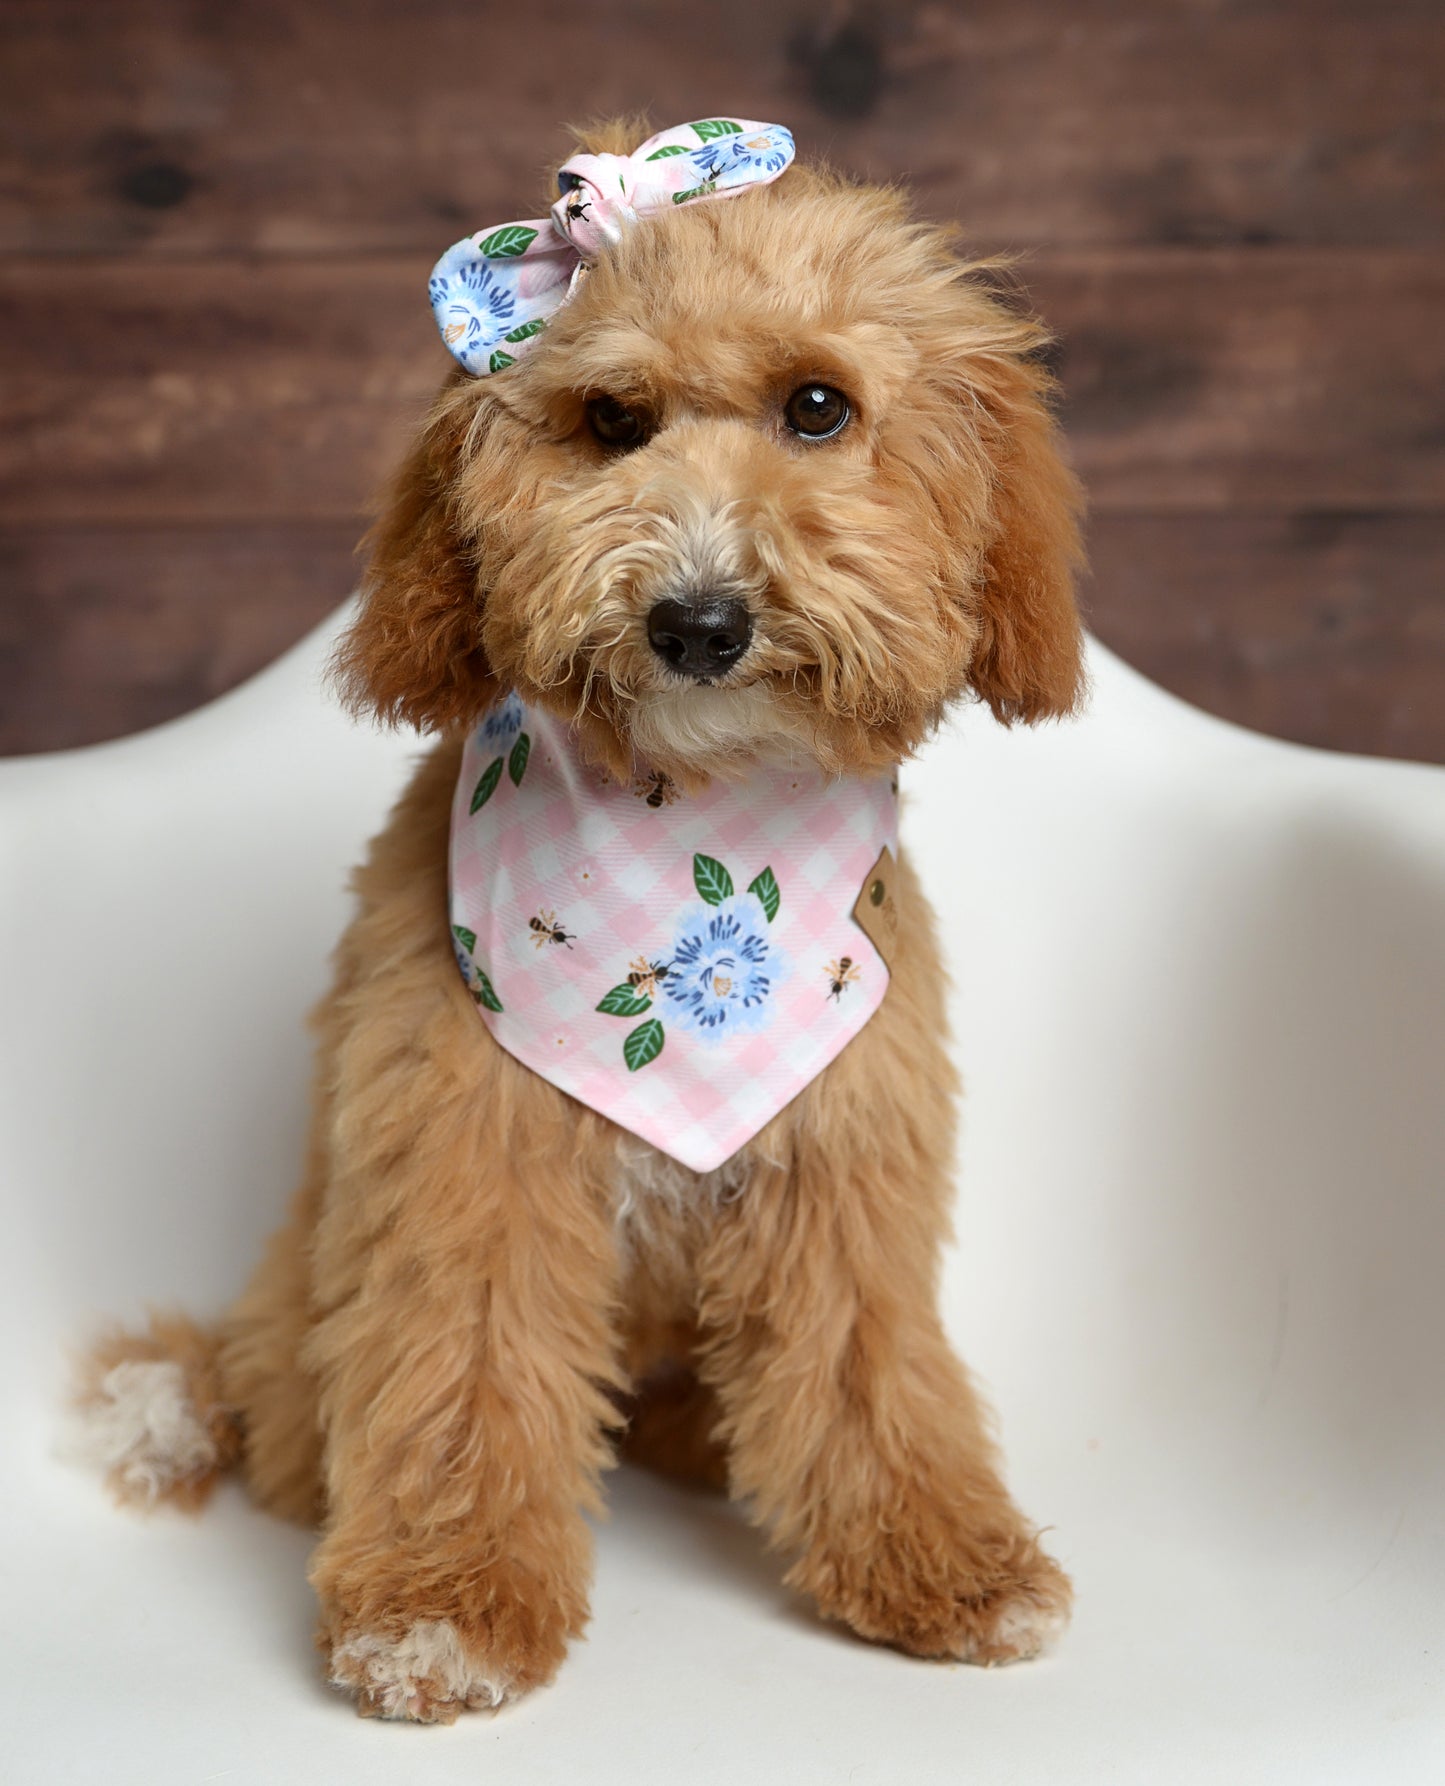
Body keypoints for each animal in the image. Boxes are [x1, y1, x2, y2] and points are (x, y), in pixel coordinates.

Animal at [79, 111, 1085, 1714]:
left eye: (819, 406)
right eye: (613, 420)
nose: (696, 619)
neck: (692, 849)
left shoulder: (843, 1161)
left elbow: (867, 1369)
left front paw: (944, 1563)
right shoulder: (469, 1161)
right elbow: (463, 1371)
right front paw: (443, 1611)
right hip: (307, 1330)